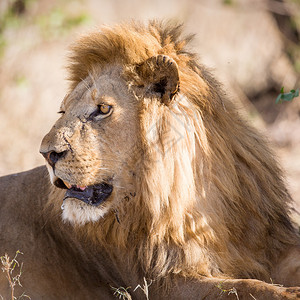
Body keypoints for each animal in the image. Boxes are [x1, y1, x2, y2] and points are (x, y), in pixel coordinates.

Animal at [0, 19, 300, 298]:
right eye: (62, 111)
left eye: (103, 109)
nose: (47, 153)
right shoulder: (164, 282)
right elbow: (246, 287)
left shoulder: (272, 244)